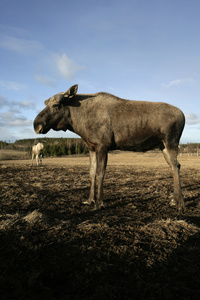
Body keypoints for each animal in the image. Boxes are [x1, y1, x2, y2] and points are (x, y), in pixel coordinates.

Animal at [33, 84, 185, 211]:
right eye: (47, 103)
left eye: (56, 105)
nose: (36, 125)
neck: (79, 123)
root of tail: (183, 115)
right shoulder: (91, 147)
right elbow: (91, 173)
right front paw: (90, 200)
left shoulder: (103, 145)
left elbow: (100, 173)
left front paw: (99, 203)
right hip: (162, 145)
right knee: (176, 166)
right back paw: (175, 199)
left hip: (171, 142)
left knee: (175, 166)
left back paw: (179, 202)